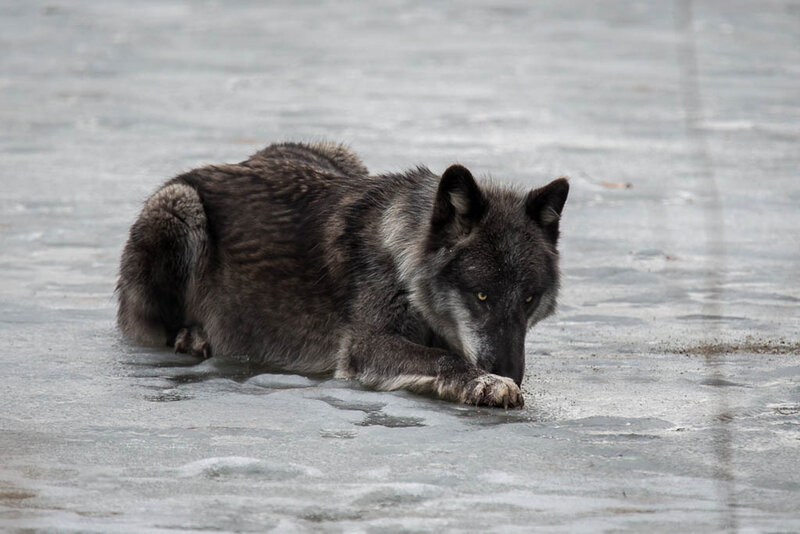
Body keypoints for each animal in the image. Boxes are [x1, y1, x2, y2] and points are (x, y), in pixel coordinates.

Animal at [117, 142, 568, 408]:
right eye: (481, 296)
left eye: (529, 300)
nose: (512, 372)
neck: (400, 258)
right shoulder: (365, 345)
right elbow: (443, 358)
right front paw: (488, 382)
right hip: (178, 203)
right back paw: (191, 337)